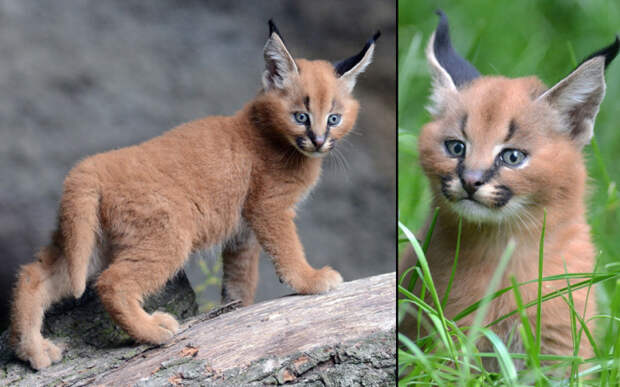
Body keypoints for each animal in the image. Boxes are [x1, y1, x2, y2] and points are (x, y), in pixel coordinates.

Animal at [400, 9, 616, 366]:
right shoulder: (445, 342)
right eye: (456, 147)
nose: (470, 180)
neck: (506, 245)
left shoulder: (562, 350)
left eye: (513, 157)